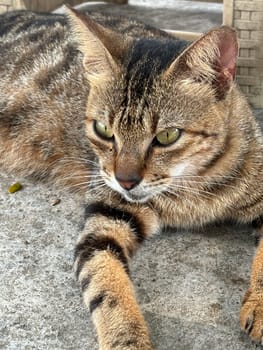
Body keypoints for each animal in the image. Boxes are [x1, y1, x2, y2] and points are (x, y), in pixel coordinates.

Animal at [0, 6, 263, 350]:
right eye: (103, 130)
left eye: (167, 135)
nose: (125, 181)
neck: (192, 191)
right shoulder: (105, 218)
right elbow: (106, 286)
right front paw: (127, 339)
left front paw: (259, 305)